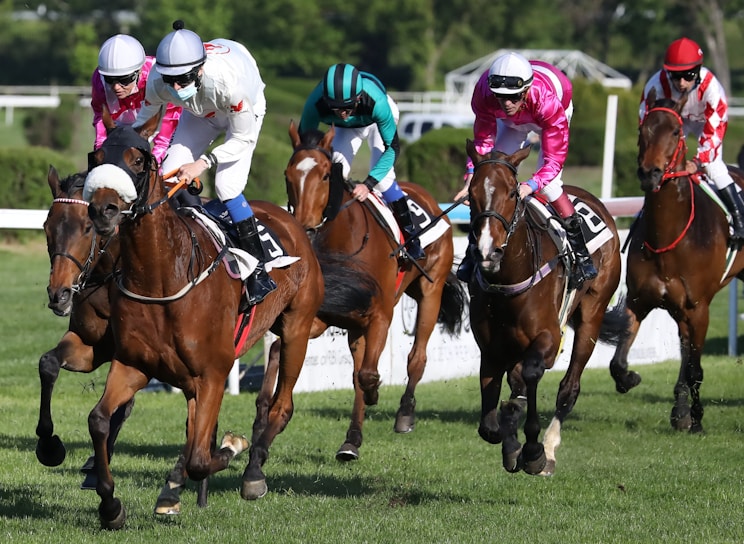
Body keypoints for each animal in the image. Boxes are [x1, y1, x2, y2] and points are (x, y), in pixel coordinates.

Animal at [37, 165, 213, 505]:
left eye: (87, 228)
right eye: (47, 227)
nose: (58, 294)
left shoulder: (137, 353)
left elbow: (124, 406)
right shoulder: (92, 345)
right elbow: (48, 363)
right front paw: (49, 446)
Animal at [83, 113, 324, 529]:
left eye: (137, 160)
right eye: (96, 157)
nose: (104, 209)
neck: (162, 275)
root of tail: (291, 219)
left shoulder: (214, 370)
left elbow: (201, 456)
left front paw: (232, 445)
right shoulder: (134, 364)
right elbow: (99, 419)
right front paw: (110, 505)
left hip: (297, 327)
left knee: (281, 406)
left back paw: (252, 473)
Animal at [283, 122, 466, 461]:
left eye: (325, 175)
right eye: (288, 175)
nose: (305, 227)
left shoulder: (381, 314)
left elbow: (369, 374)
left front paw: (376, 392)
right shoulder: (328, 313)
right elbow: (360, 373)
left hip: (430, 292)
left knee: (417, 357)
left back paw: (404, 414)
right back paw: (351, 441)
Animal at [465, 142, 627, 475]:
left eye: (512, 193)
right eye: (471, 194)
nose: (487, 252)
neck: (509, 278)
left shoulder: (549, 336)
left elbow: (531, 373)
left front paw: (533, 451)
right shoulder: (491, 347)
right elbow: (490, 424)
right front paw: (511, 443)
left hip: (592, 314)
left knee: (568, 387)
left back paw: (549, 448)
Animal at [609, 93, 744, 433]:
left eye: (675, 131)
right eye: (642, 129)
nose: (650, 173)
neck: (668, 237)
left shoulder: (699, 308)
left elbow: (696, 368)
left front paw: (697, 418)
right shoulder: (639, 300)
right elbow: (618, 362)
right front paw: (631, 378)